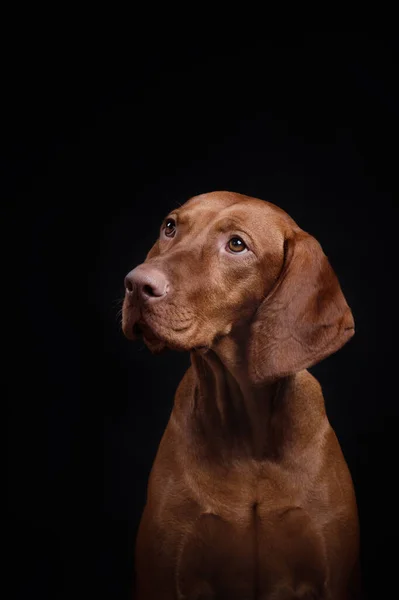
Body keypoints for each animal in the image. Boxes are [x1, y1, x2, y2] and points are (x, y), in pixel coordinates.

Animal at [122, 192, 362, 600]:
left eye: (237, 244)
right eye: (170, 226)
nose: (137, 285)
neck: (247, 434)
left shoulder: (334, 578)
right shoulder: (162, 575)